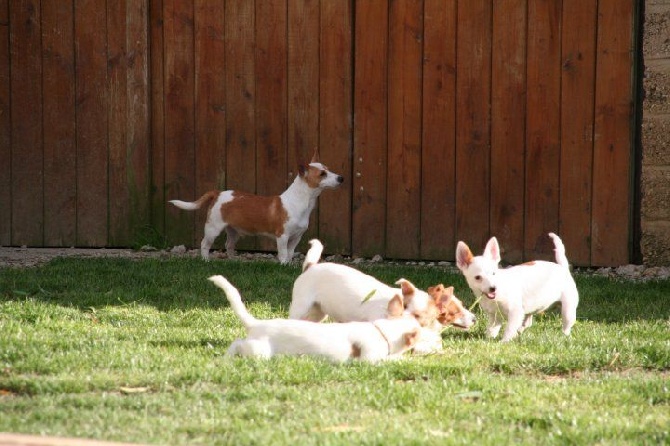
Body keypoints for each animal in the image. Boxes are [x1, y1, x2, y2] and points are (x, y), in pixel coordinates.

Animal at [168, 150, 346, 264]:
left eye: (328, 169)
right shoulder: (282, 236)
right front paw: (283, 265)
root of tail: (217, 193)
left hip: (233, 231)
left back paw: (233, 261)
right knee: (205, 244)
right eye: (322, 174)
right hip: (213, 228)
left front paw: (290, 265)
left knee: (229, 245)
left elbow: (290, 253)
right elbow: (283, 253)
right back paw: (206, 261)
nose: (341, 178)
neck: (301, 201)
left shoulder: (296, 237)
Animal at [207, 276, 422, 362]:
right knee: (239, 344)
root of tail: (257, 323)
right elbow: (389, 359)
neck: (381, 331)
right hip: (260, 351)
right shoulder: (369, 359)